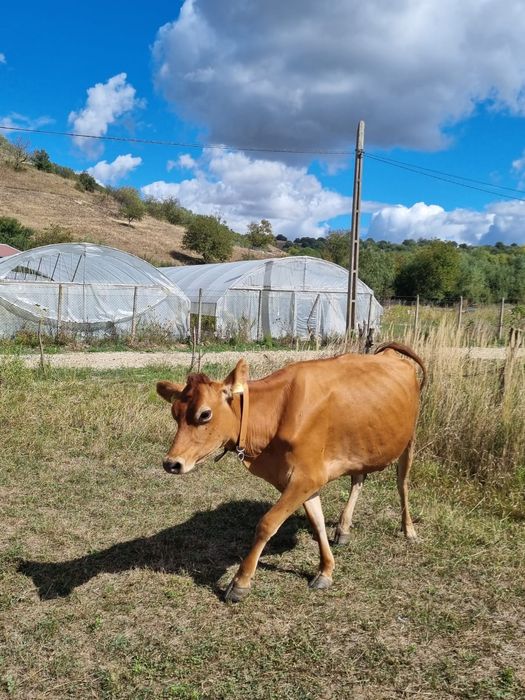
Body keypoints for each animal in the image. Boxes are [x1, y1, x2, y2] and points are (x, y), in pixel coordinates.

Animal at [156, 342, 426, 603]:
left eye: (204, 414)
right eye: (174, 414)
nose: (171, 463)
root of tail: (388, 354)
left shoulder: (307, 477)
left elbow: (267, 524)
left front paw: (240, 583)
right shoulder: (303, 479)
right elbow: (317, 522)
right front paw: (325, 570)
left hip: (410, 437)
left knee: (402, 483)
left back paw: (409, 530)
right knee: (359, 478)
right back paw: (344, 528)